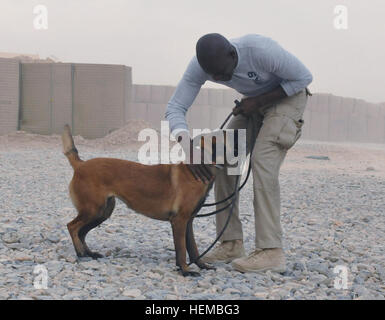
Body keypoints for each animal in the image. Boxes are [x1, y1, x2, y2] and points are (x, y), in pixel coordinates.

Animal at [60, 124, 216, 276]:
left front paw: (202, 266)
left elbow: (193, 248)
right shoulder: (179, 220)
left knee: (82, 232)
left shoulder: (188, 221)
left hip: (102, 213)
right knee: (72, 227)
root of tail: (80, 164)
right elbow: (182, 249)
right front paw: (185, 270)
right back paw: (80, 252)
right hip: (93, 210)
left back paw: (89, 253)